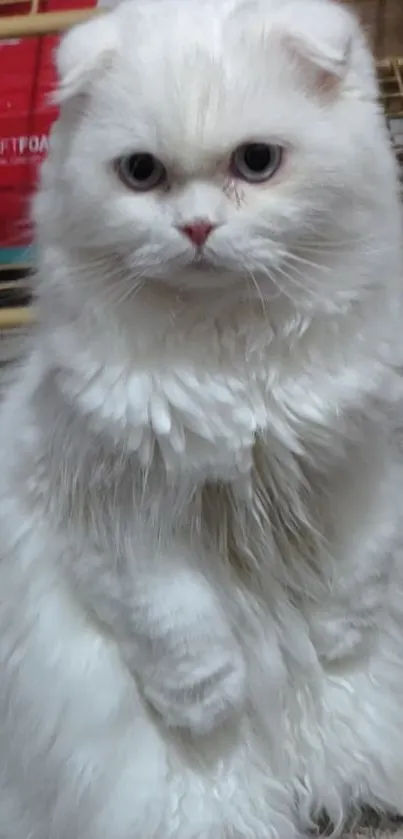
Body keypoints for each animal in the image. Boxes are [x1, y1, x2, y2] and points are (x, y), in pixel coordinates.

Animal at [0, 0, 403, 836]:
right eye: (140, 173)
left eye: (256, 163)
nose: (195, 231)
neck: (234, 369)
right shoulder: (117, 517)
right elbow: (181, 635)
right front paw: (210, 708)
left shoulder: (356, 465)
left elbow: (356, 579)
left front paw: (336, 646)